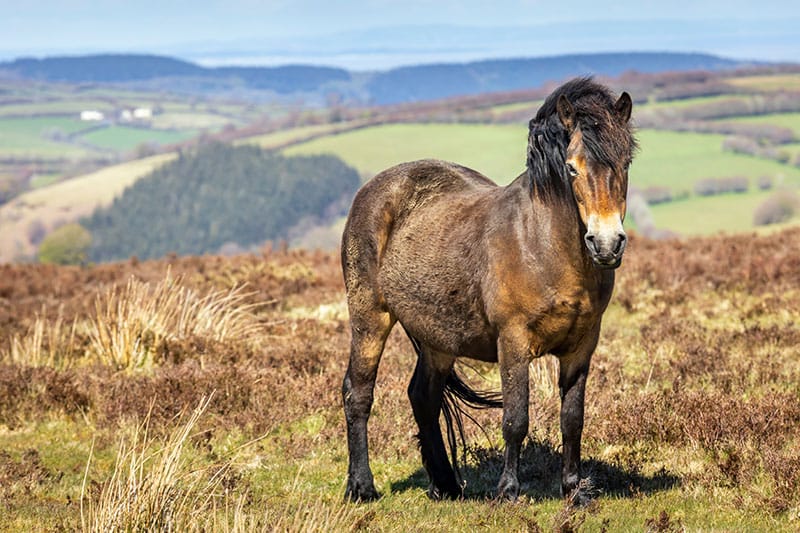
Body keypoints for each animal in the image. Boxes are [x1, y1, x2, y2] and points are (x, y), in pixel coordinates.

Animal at [340, 77, 636, 503]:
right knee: (358, 392)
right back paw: (362, 487)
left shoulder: (581, 346)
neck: (541, 245)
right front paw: (508, 491)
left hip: (438, 337)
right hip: (370, 316)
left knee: (423, 396)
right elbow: (515, 418)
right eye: (571, 167)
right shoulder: (513, 342)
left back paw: (446, 485)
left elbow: (572, 420)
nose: (607, 244)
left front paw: (573, 491)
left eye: (625, 163)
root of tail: (374, 189)